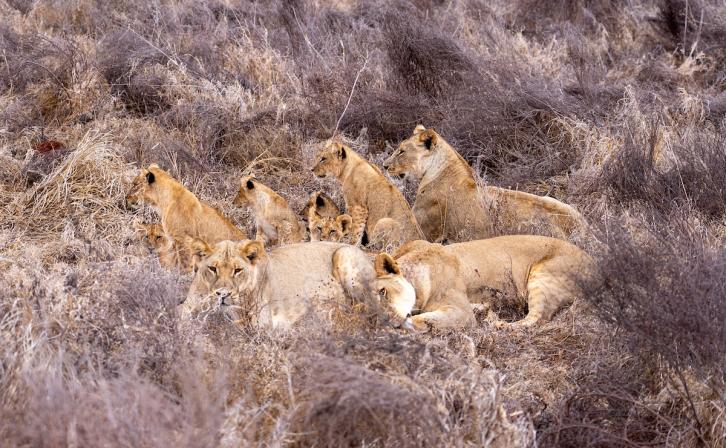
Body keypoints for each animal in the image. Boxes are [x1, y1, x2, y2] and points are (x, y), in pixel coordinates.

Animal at [182, 239, 375, 329]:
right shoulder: (187, 306)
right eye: (213, 268)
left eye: (237, 270)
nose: (223, 294)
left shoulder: (267, 323)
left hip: (344, 255)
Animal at [372, 236, 595, 331]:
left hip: (542, 276)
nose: (381, 320)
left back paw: (493, 320)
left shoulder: (460, 312)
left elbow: (423, 319)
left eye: (383, 292)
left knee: (536, 319)